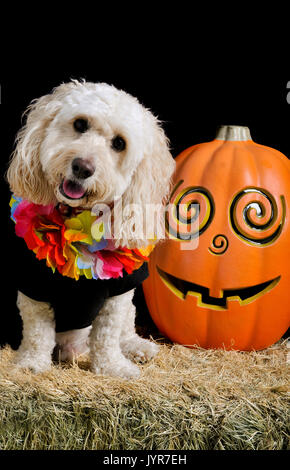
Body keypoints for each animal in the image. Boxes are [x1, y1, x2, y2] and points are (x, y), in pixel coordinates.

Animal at [6, 80, 174, 378]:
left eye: (119, 143)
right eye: (80, 124)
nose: (82, 167)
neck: (76, 218)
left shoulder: (120, 291)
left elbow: (107, 336)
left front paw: (112, 367)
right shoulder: (33, 287)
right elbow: (37, 333)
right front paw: (32, 363)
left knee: (124, 330)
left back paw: (137, 347)